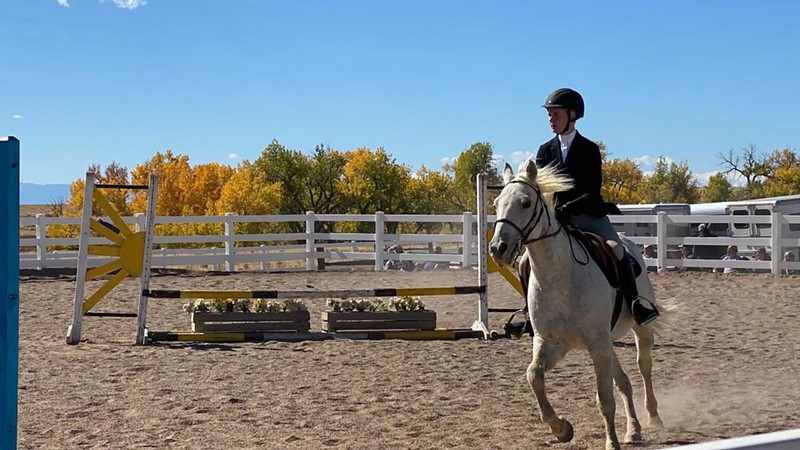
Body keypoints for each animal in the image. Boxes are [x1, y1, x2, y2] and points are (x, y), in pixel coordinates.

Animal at [488, 161, 668, 450]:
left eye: (526, 203)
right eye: (496, 203)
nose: (498, 248)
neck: (560, 277)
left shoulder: (596, 344)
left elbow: (604, 399)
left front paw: (611, 443)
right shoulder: (551, 342)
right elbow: (533, 375)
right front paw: (561, 428)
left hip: (637, 330)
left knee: (644, 366)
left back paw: (653, 417)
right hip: (605, 343)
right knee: (624, 381)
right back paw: (633, 430)